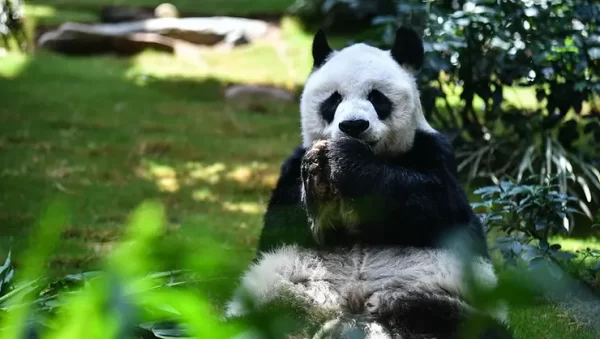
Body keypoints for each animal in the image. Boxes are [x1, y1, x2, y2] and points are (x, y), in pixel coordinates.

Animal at [223, 25, 512, 338]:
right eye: (334, 99)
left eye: (377, 97)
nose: (353, 126)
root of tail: (352, 315)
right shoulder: (290, 170)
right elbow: (286, 221)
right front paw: (320, 184)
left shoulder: (435, 152)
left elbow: (437, 202)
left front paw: (346, 160)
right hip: (282, 295)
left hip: (432, 294)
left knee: (459, 324)